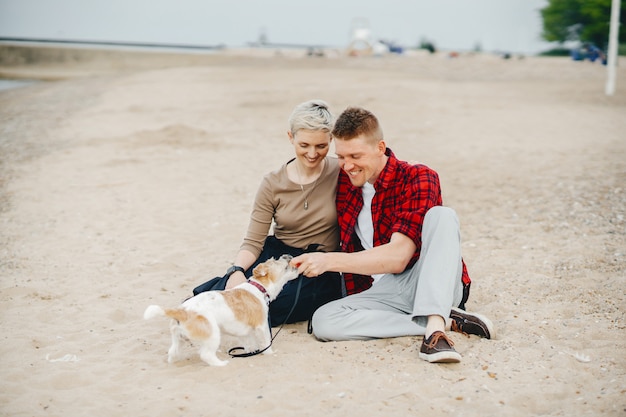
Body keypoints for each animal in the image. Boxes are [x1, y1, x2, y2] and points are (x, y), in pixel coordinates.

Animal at [143, 255, 298, 366]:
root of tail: (182, 311)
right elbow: (266, 343)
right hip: (213, 335)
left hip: (178, 339)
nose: (287, 255)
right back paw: (221, 364)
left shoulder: (243, 332)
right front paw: (270, 353)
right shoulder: (262, 326)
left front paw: (251, 352)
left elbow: (249, 343)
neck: (258, 287)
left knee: (172, 352)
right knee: (206, 355)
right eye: (277, 261)